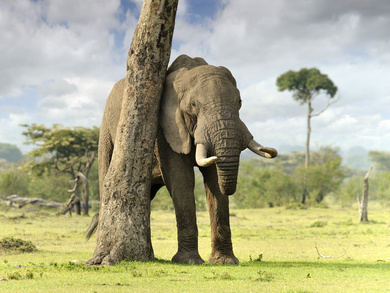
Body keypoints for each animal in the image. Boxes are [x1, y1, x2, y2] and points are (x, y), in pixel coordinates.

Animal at [90, 53, 278, 264]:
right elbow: (181, 179)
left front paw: (225, 261)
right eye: (193, 106)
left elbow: (214, 180)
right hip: (106, 131)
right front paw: (188, 261)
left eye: (239, 102)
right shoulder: (163, 129)